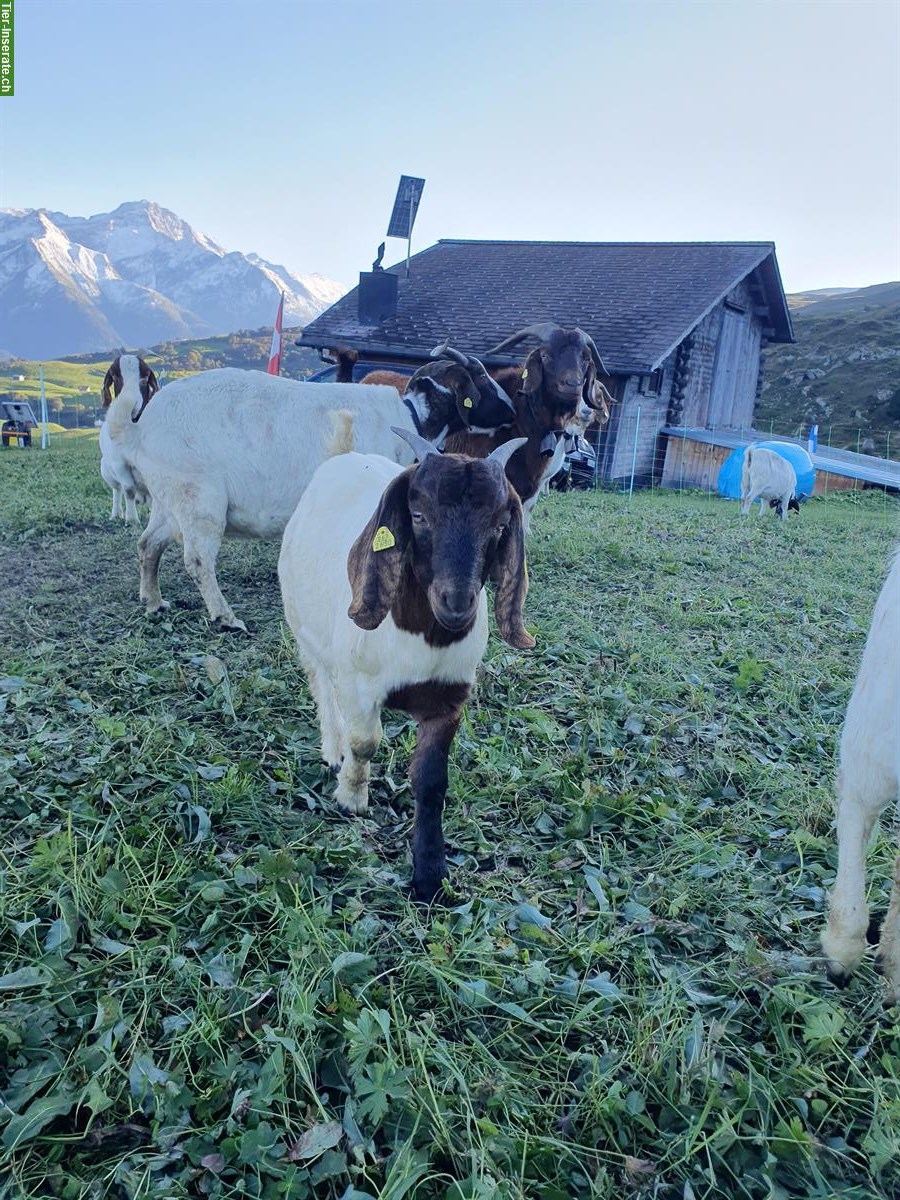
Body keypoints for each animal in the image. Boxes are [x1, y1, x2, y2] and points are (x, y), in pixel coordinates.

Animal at [99, 355, 441, 638]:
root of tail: (139, 430)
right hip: (197, 496)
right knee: (197, 560)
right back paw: (226, 618)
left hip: (168, 500)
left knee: (148, 545)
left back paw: (154, 602)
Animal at [274, 429, 532, 902]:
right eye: (419, 515)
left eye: (500, 525)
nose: (457, 603)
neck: (420, 639)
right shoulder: (359, 684)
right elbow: (364, 742)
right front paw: (351, 797)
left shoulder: (449, 696)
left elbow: (431, 782)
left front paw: (430, 874)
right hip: (304, 631)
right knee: (322, 687)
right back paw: (332, 750)